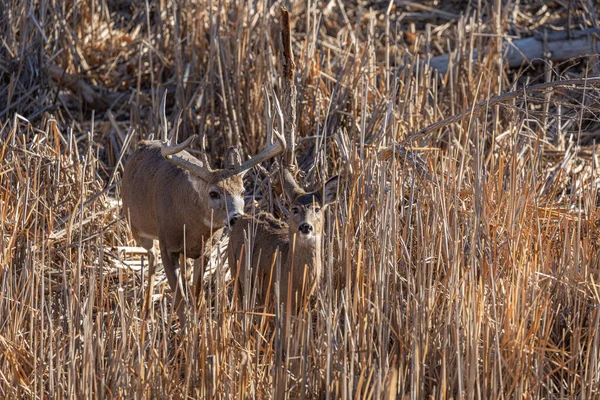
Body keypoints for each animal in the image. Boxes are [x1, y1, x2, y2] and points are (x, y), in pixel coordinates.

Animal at [122, 130, 286, 324]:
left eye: (243, 191)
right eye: (213, 193)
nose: (236, 217)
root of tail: (140, 145)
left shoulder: (206, 249)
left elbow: (198, 291)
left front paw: (198, 320)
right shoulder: (167, 246)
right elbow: (181, 301)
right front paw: (186, 328)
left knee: (182, 269)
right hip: (136, 227)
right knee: (152, 256)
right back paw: (146, 314)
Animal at [227, 168, 338, 316]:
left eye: (317, 209)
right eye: (294, 209)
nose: (305, 226)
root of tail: (241, 217)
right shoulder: (282, 303)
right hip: (235, 271)